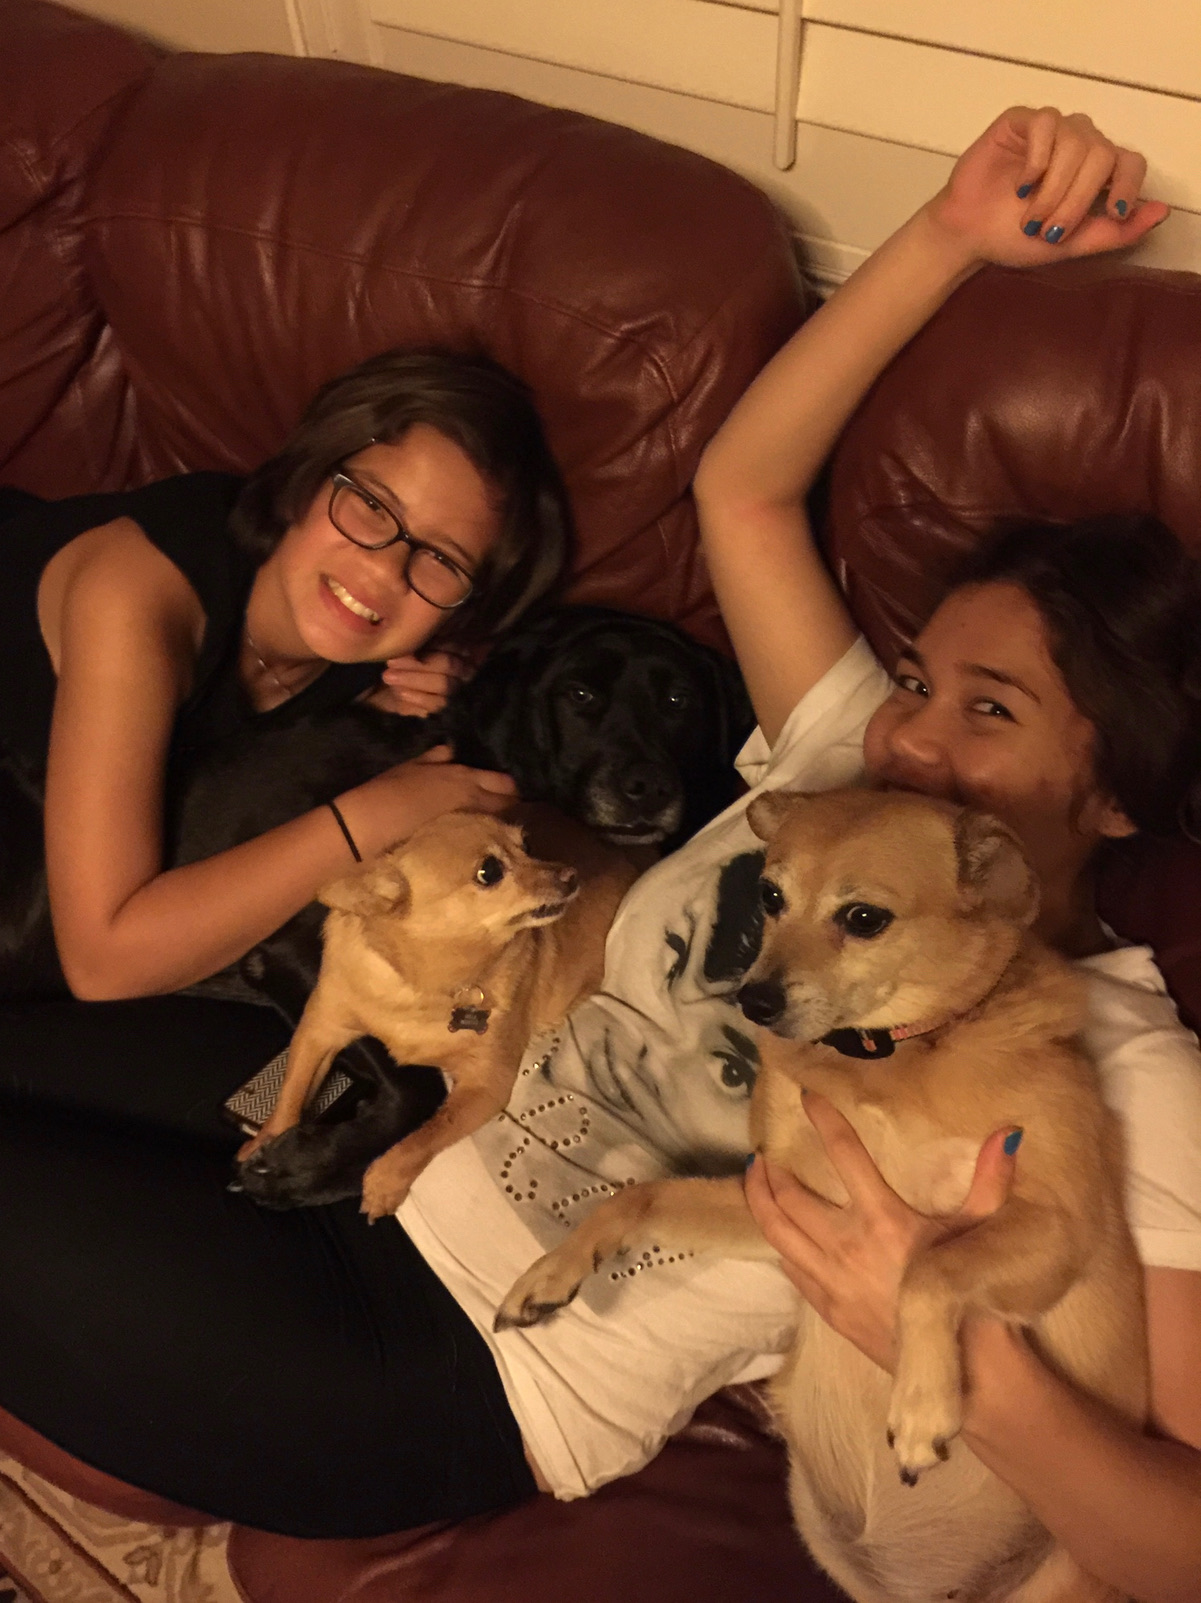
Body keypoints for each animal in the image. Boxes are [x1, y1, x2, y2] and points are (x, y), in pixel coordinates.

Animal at [238, 806, 638, 1220]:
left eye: (527, 845)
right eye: (490, 871)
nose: (571, 875)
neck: (423, 984)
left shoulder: (486, 1085)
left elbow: (427, 1136)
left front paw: (382, 1182)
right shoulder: (321, 1027)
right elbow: (292, 1092)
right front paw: (267, 1142)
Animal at [495, 788, 1147, 1603]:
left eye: (863, 918)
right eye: (771, 897)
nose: (753, 1001)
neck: (886, 1059)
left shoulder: (1059, 1228)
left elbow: (930, 1267)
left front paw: (921, 1403)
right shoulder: (773, 1200)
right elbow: (638, 1198)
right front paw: (550, 1273)